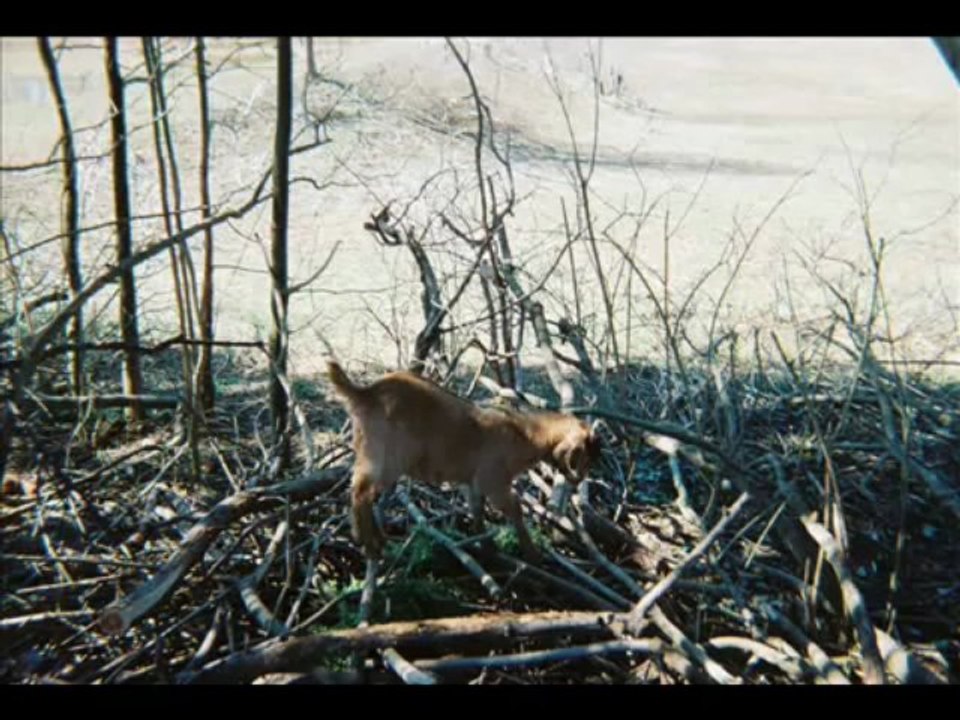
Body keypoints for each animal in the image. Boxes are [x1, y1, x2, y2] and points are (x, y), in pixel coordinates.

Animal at [327, 361, 600, 562]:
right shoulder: (494, 480)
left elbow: (476, 509)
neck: (525, 434)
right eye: (585, 458)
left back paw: (372, 538)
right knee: (361, 491)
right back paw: (370, 544)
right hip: (385, 456)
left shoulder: (473, 482)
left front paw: (487, 548)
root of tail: (365, 392)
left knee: (360, 490)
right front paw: (532, 553)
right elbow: (515, 507)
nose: (579, 482)